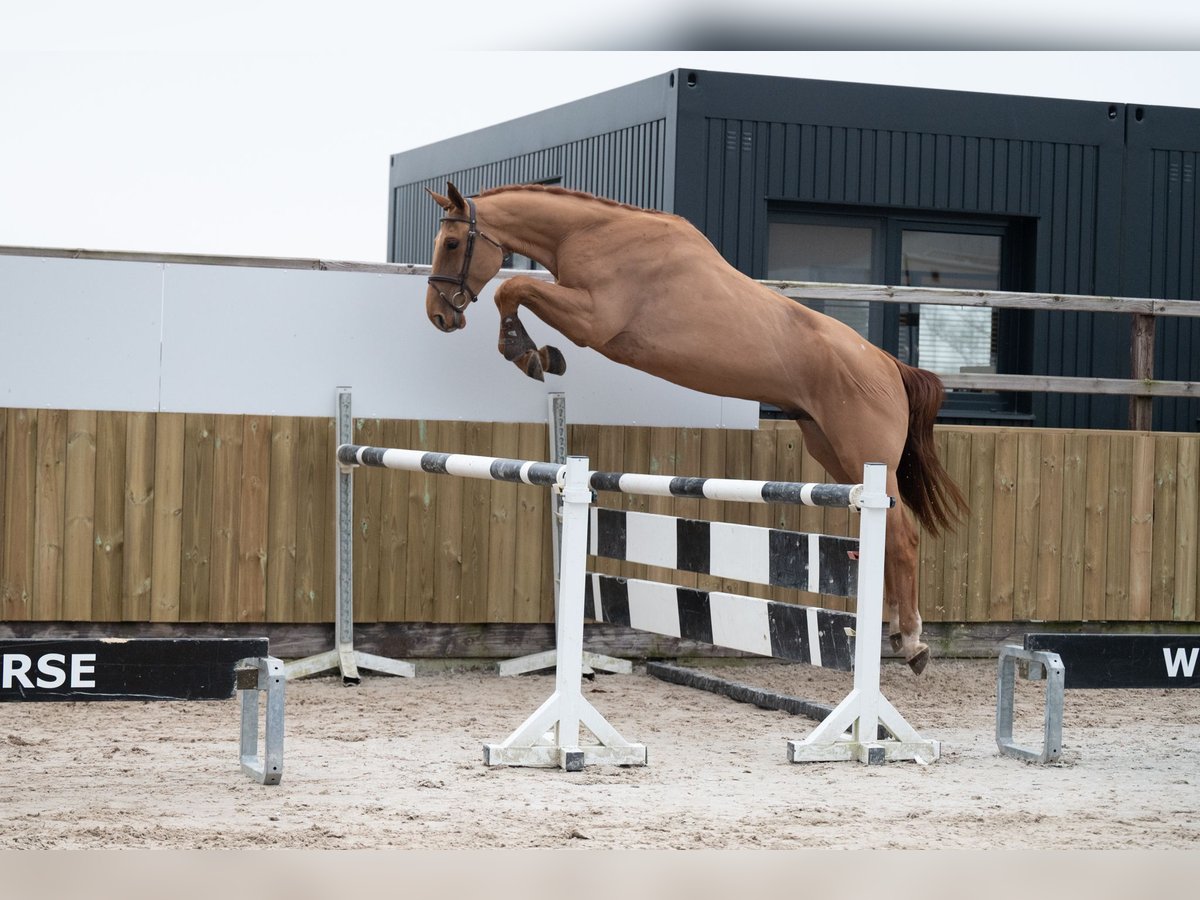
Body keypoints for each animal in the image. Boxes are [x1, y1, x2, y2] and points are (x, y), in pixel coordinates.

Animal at [422, 184, 964, 676]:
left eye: (452, 243)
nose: (439, 315)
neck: (592, 232)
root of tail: (888, 365)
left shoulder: (593, 321)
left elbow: (511, 288)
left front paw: (529, 352)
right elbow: (513, 292)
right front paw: (538, 354)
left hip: (864, 457)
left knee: (903, 536)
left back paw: (913, 641)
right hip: (830, 448)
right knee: (888, 533)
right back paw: (895, 632)